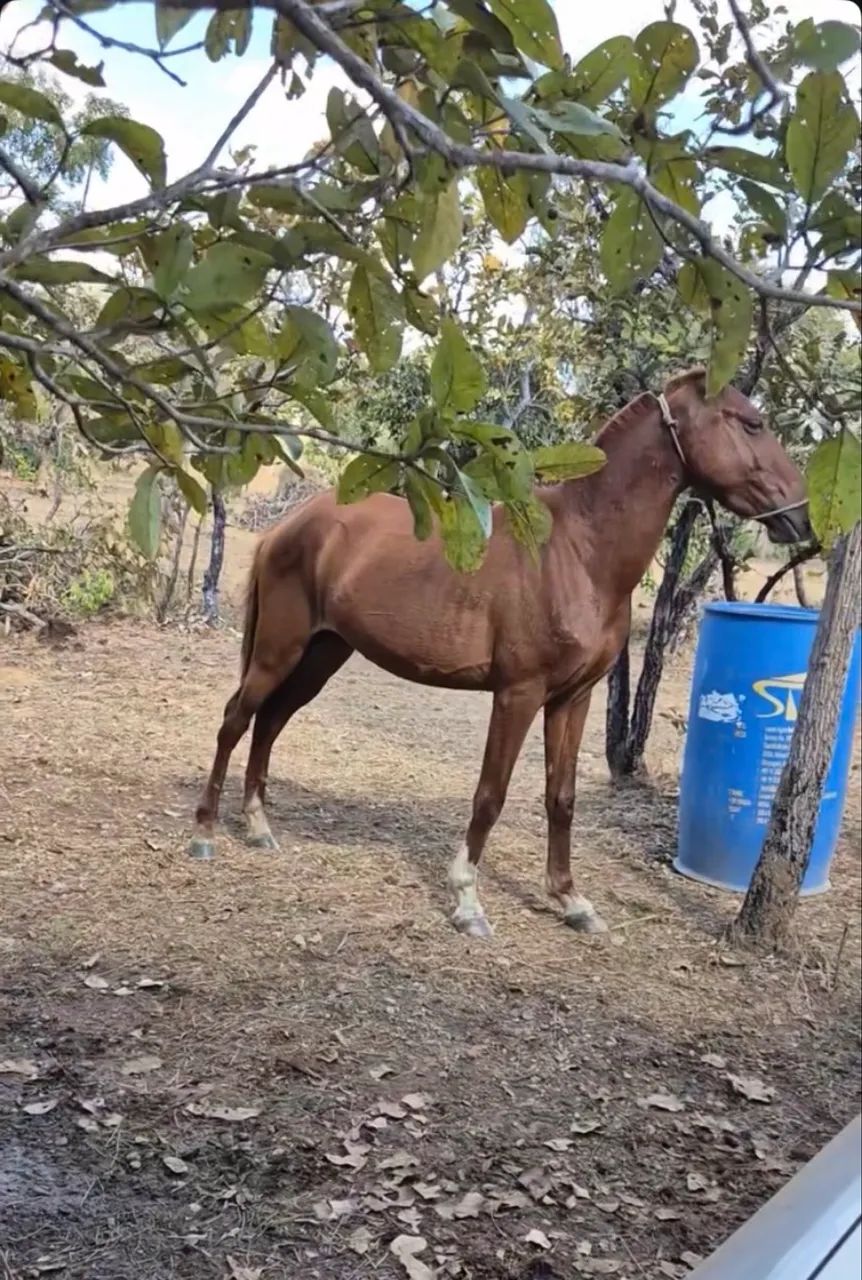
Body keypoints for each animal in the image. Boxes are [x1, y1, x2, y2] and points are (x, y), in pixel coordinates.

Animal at [189, 369, 811, 938]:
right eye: (751, 423)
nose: (801, 516)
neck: (577, 551)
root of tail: (289, 526)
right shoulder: (518, 694)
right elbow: (491, 794)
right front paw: (467, 901)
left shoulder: (573, 699)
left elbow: (561, 797)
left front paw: (571, 901)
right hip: (280, 650)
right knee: (236, 719)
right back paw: (205, 833)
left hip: (321, 655)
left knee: (270, 722)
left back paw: (258, 827)